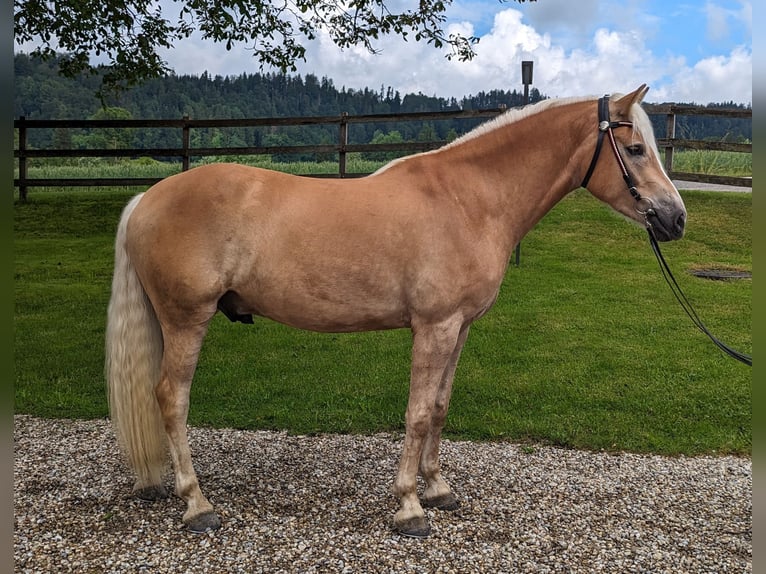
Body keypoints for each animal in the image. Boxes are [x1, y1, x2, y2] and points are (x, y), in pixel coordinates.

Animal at [105, 85, 688, 540]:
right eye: (635, 149)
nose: (675, 218)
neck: (469, 199)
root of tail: (145, 200)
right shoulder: (434, 327)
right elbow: (417, 413)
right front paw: (409, 507)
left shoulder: (459, 328)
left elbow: (440, 407)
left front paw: (438, 489)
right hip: (186, 320)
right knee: (171, 399)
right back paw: (197, 504)